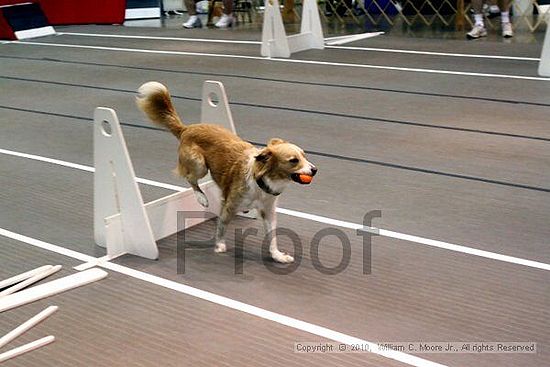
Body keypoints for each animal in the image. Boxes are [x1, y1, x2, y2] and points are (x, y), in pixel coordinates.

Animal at [137, 82, 320, 264]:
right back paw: (202, 198)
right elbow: (222, 225)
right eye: (293, 160)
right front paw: (219, 245)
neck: (261, 181)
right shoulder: (230, 206)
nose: (315, 170)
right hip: (199, 165)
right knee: (190, 178)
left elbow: (272, 237)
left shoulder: (268, 212)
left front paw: (278, 255)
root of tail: (187, 129)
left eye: (304, 155)